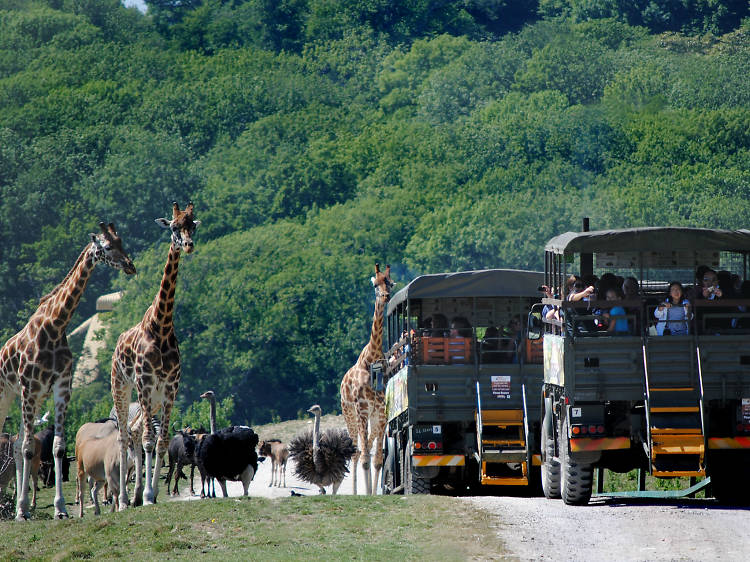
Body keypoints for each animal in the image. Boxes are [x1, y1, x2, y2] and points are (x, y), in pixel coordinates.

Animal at [0, 221, 135, 520]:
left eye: (122, 241)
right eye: (107, 246)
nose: (130, 266)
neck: (55, 326)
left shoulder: (60, 387)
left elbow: (58, 448)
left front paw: (59, 509)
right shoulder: (30, 388)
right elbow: (29, 449)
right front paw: (25, 511)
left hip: (31, 398)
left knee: (16, 443)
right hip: (9, 394)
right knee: (17, 444)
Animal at [110, 201, 200, 508]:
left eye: (192, 225)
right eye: (173, 227)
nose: (188, 245)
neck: (161, 326)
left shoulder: (170, 387)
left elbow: (160, 441)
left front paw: (152, 492)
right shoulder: (145, 383)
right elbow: (149, 439)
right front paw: (148, 495)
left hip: (155, 398)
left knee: (136, 432)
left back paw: (136, 493)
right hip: (123, 388)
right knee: (126, 436)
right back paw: (124, 499)